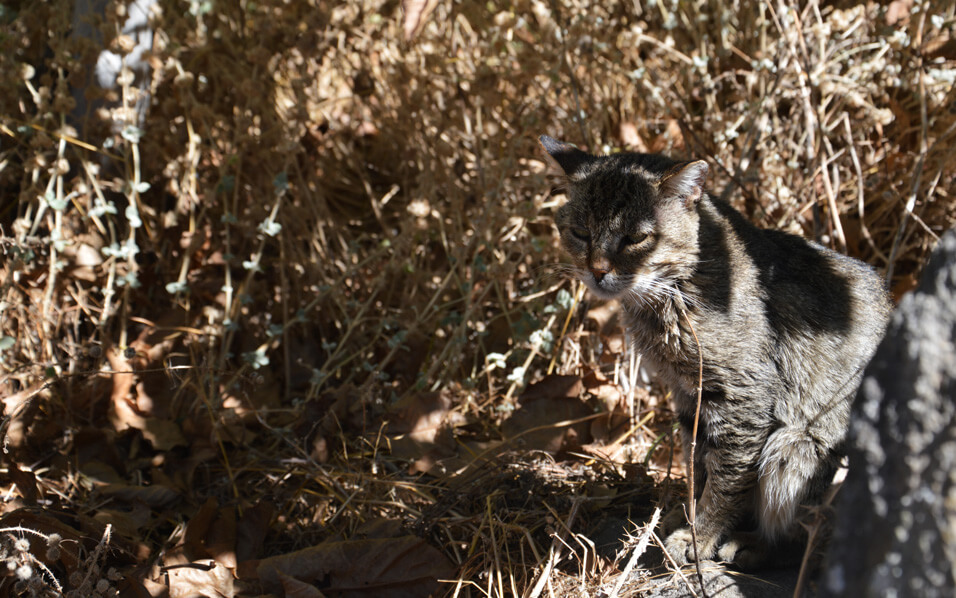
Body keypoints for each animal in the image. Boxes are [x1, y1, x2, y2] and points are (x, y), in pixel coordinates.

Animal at [540, 134, 892, 568]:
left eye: (636, 238)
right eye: (580, 233)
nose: (598, 270)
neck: (673, 289)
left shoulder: (743, 395)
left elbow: (728, 474)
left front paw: (701, 534)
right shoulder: (688, 394)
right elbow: (698, 463)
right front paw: (686, 515)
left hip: (795, 447)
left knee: (808, 533)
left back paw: (751, 544)